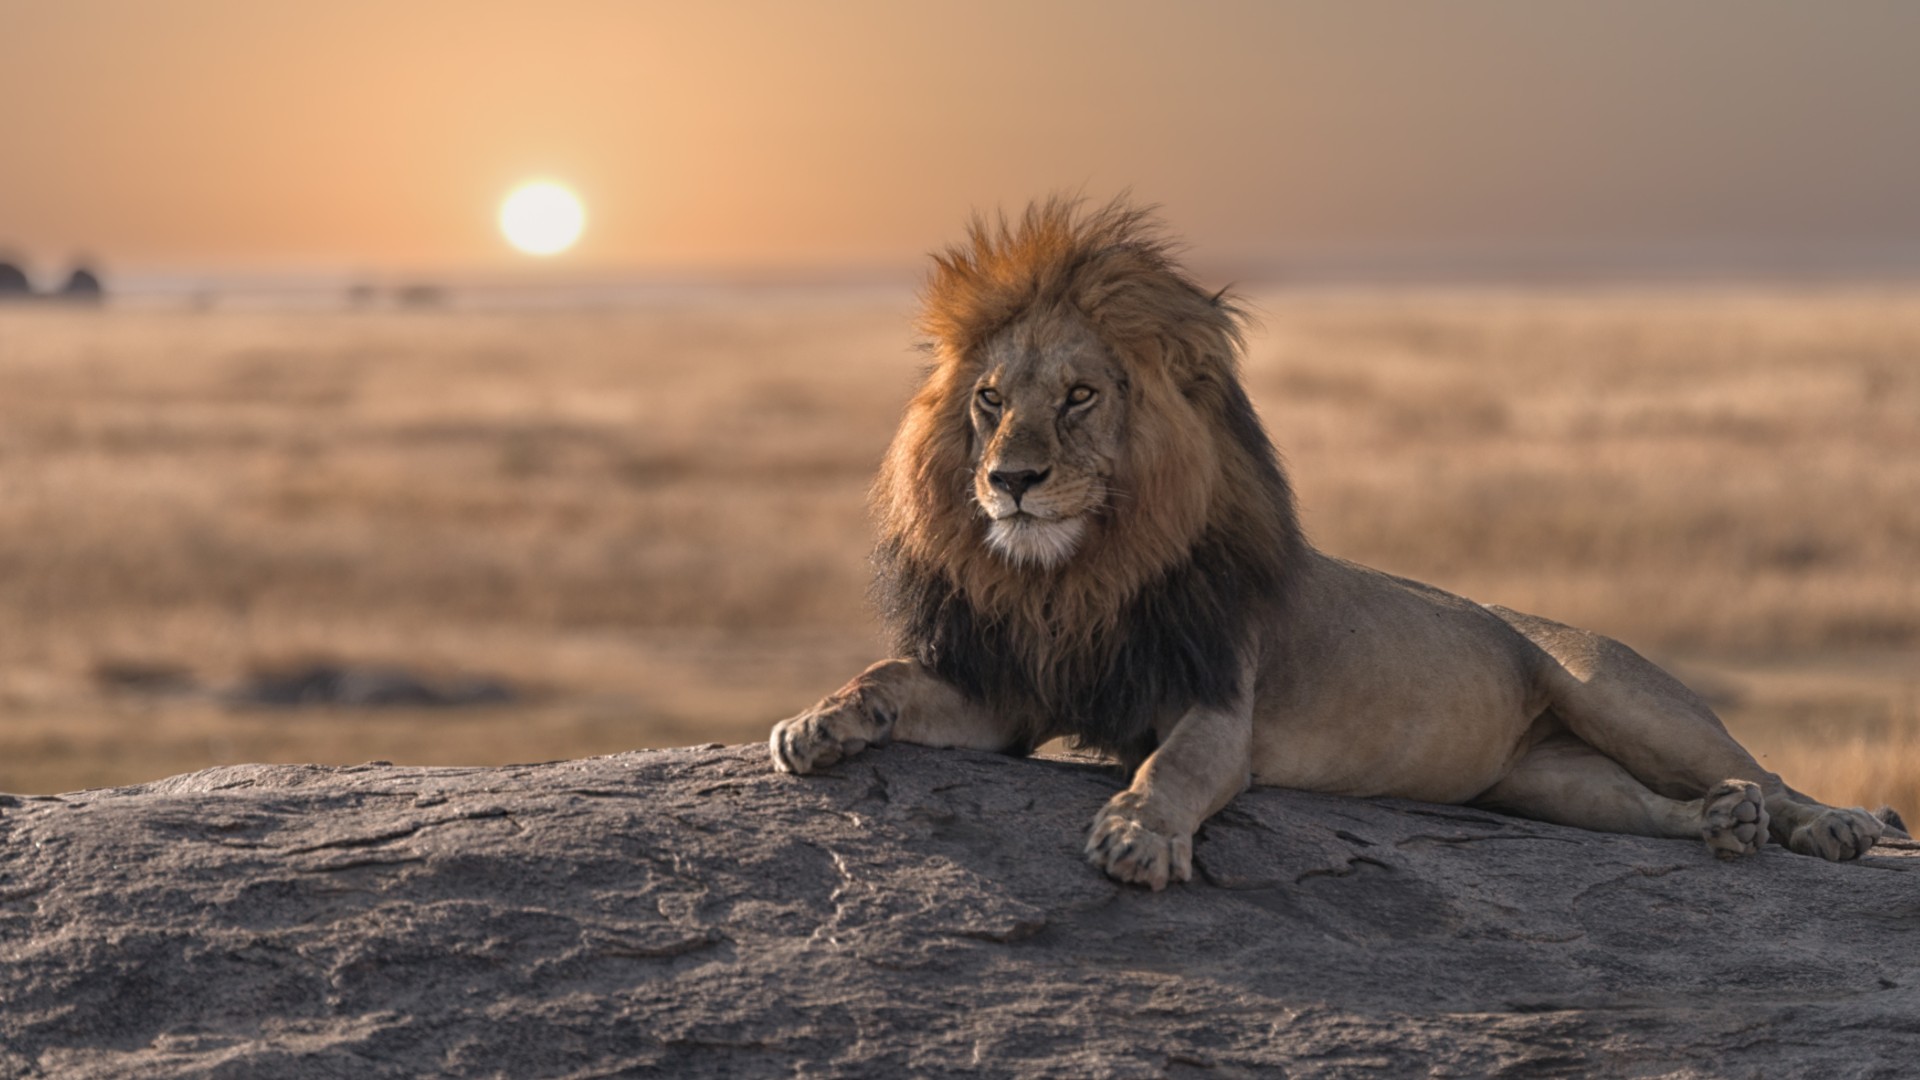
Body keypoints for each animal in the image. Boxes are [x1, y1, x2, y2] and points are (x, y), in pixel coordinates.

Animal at [769, 196, 1894, 889]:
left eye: (1081, 397)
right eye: (992, 402)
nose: (1010, 480)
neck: (1078, 576)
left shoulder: (1216, 703)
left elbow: (1171, 769)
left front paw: (1136, 834)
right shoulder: (1011, 693)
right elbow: (889, 677)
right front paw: (818, 723)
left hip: (1619, 693)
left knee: (1759, 772)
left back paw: (1831, 824)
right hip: (1546, 781)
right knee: (1657, 806)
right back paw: (1720, 827)